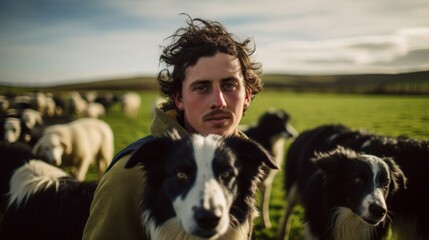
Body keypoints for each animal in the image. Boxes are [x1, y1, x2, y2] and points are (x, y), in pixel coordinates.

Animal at [276, 124, 406, 240]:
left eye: (385, 183)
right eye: (357, 179)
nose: (379, 211)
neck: (350, 218)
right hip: (293, 188)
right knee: (288, 210)